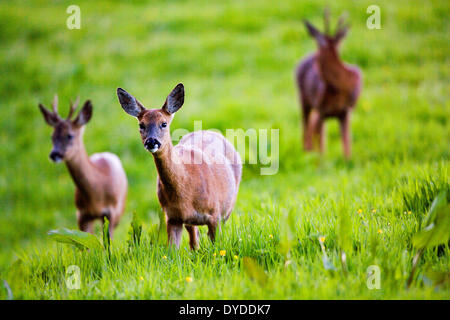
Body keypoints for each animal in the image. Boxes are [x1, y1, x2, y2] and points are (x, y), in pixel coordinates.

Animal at [117, 84, 243, 249]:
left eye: (164, 123)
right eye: (141, 125)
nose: (151, 142)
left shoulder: (214, 213)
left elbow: (217, 245)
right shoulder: (172, 217)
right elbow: (172, 251)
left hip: (228, 206)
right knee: (194, 239)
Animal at [296, 10, 362, 159]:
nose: (315, 58)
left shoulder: (346, 111)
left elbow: (346, 146)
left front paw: (347, 161)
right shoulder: (321, 109)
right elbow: (322, 146)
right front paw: (320, 162)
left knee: (311, 128)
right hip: (304, 99)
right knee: (306, 128)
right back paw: (306, 153)